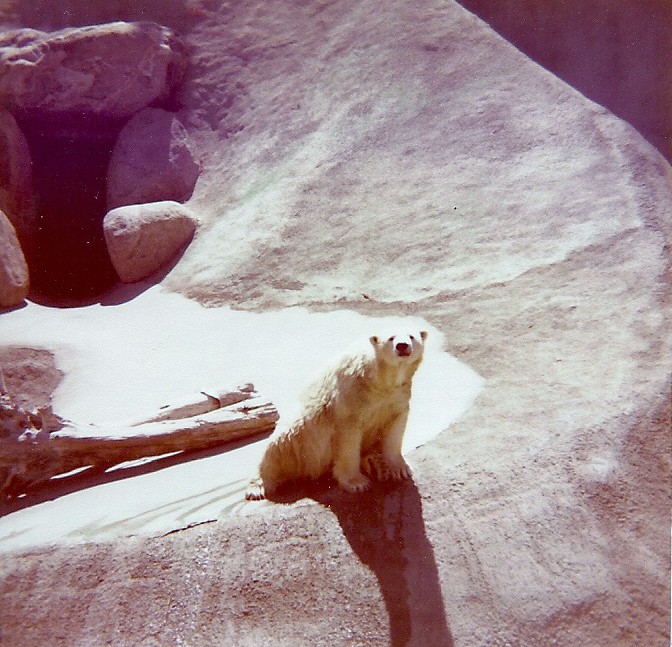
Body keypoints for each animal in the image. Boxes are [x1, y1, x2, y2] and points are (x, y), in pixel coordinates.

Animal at [245, 329, 428, 500]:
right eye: (391, 338)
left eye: (411, 336)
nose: (402, 346)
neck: (379, 380)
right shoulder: (351, 396)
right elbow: (349, 437)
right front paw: (357, 483)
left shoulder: (397, 395)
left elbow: (395, 425)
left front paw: (400, 469)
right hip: (303, 435)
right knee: (279, 446)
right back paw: (257, 487)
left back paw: (373, 462)